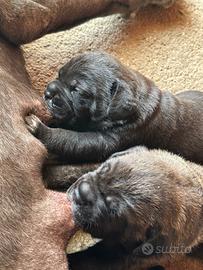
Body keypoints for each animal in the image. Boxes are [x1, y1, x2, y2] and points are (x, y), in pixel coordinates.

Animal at [25, 51, 203, 163]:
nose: (48, 92)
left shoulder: (109, 140)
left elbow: (71, 139)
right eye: (59, 74)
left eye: (76, 90)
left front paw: (40, 128)